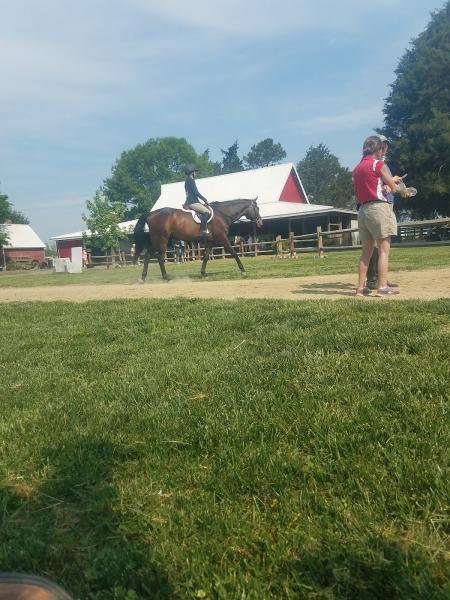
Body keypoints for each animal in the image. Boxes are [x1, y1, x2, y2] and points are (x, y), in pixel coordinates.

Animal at [132, 197, 262, 282]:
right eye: (257, 208)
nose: (260, 222)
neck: (221, 214)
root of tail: (151, 214)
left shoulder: (210, 241)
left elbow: (206, 257)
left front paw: (203, 274)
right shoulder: (222, 238)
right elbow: (234, 253)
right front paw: (243, 271)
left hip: (156, 240)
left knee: (148, 256)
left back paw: (143, 278)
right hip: (162, 239)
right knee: (159, 257)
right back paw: (166, 277)